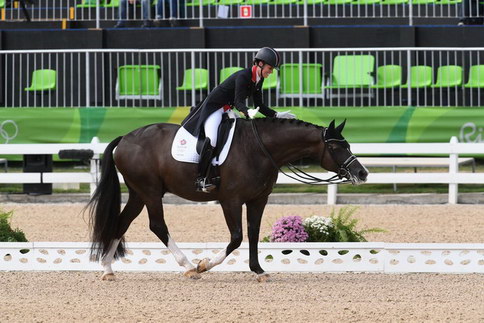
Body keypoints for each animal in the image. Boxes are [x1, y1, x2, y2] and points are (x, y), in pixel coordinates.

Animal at [88, 117, 366, 282]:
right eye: (336, 147)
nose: (362, 173)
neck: (261, 149)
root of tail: (125, 138)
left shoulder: (258, 200)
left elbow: (253, 233)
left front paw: (259, 271)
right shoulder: (230, 200)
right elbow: (237, 238)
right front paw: (205, 265)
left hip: (139, 193)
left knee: (121, 223)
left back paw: (107, 269)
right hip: (151, 192)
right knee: (157, 225)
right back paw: (189, 267)